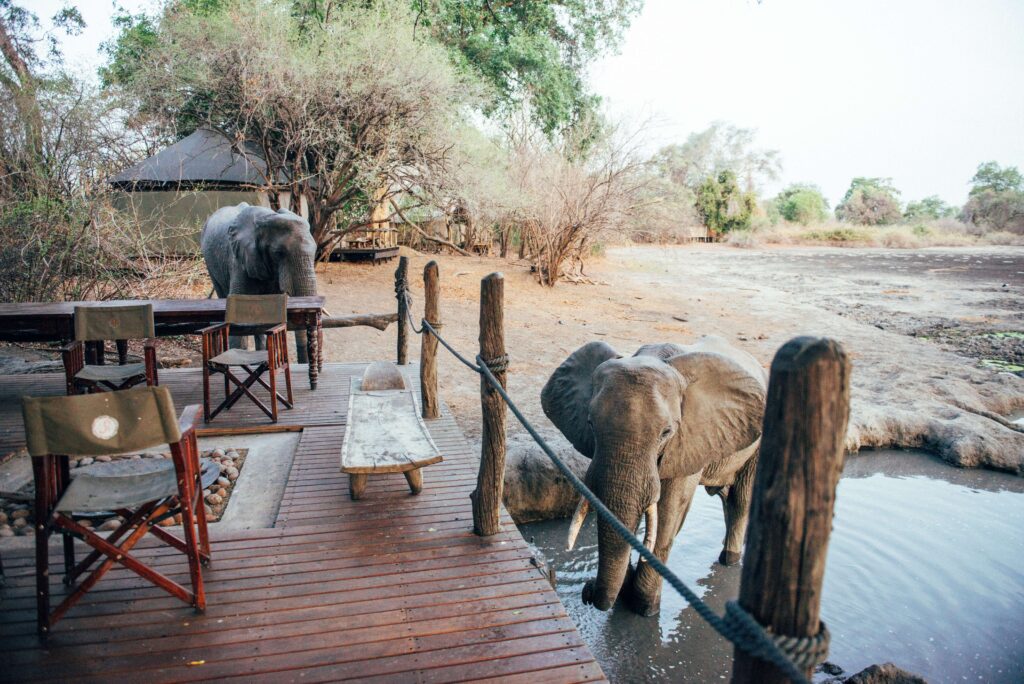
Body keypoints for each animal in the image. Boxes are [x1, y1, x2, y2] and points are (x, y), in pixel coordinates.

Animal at [541, 335, 767, 616]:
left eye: (666, 432)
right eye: (591, 424)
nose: (587, 592)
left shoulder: (688, 440)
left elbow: (669, 512)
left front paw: (644, 608)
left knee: (741, 502)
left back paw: (729, 561)